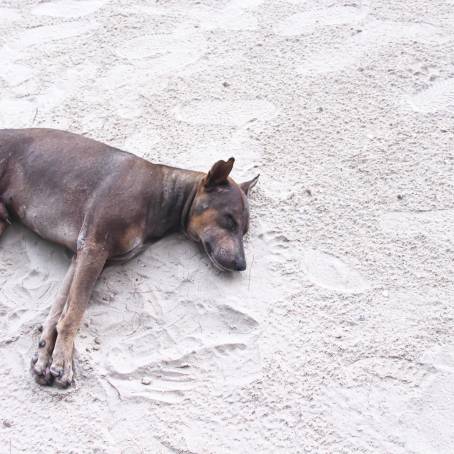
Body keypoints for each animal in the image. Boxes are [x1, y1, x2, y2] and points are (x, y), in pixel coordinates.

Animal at [0, 127, 258, 386]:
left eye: (244, 230)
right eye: (229, 220)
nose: (242, 265)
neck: (159, 195)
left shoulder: (84, 256)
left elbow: (58, 311)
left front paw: (46, 356)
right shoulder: (93, 247)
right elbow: (73, 314)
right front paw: (62, 362)